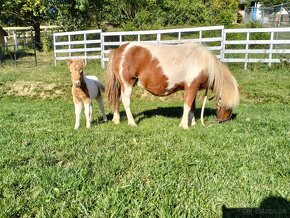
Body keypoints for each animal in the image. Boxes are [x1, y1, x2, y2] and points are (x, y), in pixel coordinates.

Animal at [105, 41, 239, 129]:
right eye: (229, 106)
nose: (223, 121)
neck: (204, 63)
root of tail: (119, 50)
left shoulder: (193, 88)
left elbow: (192, 106)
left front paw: (193, 122)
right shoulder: (191, 87)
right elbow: (187, 105)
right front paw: (184, 125)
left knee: (117, 99)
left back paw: (116, 120)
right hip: (127, 83)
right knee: (126, 101)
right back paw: (132, 123)